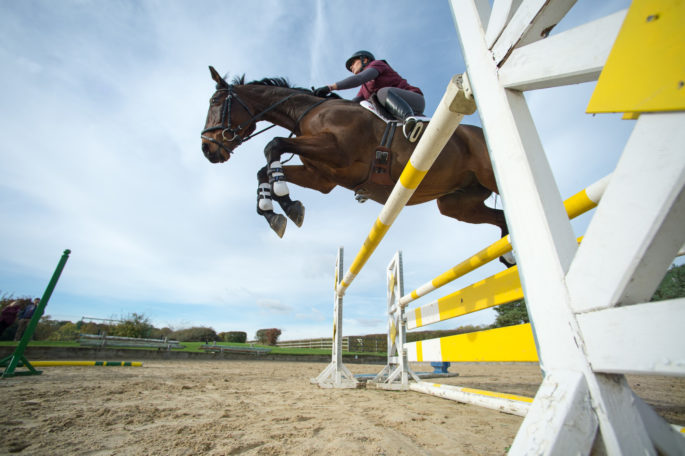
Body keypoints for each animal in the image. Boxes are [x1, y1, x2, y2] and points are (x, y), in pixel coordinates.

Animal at [200, 66, 504, 244]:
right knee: (499, 219)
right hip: (457, 204)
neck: (307, 113)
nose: (207, 150)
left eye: (215, 101)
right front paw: (274, 211)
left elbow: (272, 145)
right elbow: (265, 170)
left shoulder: (339, 151)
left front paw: (285, 201)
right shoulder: (321, 177)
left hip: (489, 178)